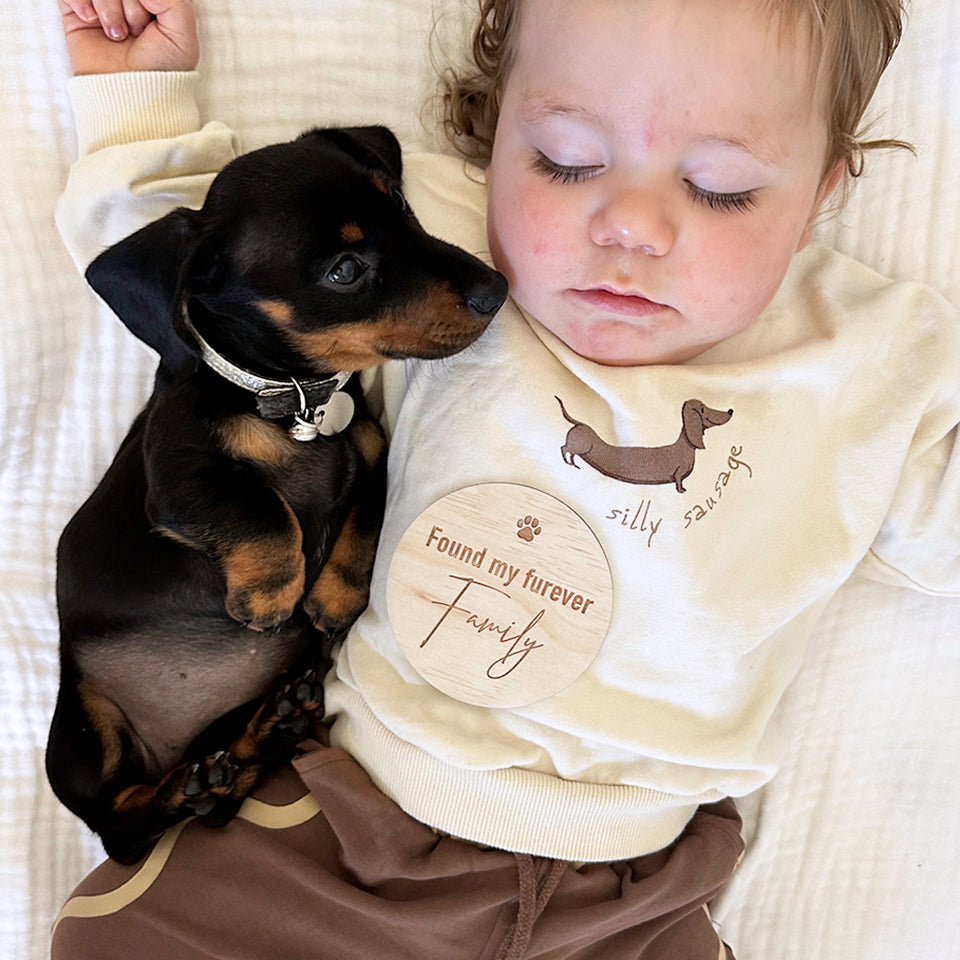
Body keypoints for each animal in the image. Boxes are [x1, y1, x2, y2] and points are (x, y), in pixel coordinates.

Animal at [47, 125, 510, 864]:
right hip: (82, 734)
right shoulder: (180, 476)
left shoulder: (372, 450)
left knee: (213, 796)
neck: (295, 401)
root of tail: (174, 752)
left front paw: (335, 597)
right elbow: (261, 511)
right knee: (121, 825)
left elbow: (367, 511)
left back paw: (254, 744)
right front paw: (269, 596)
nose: (496, 290)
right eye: (344, 271)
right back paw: (181, 790)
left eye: (400, 203)